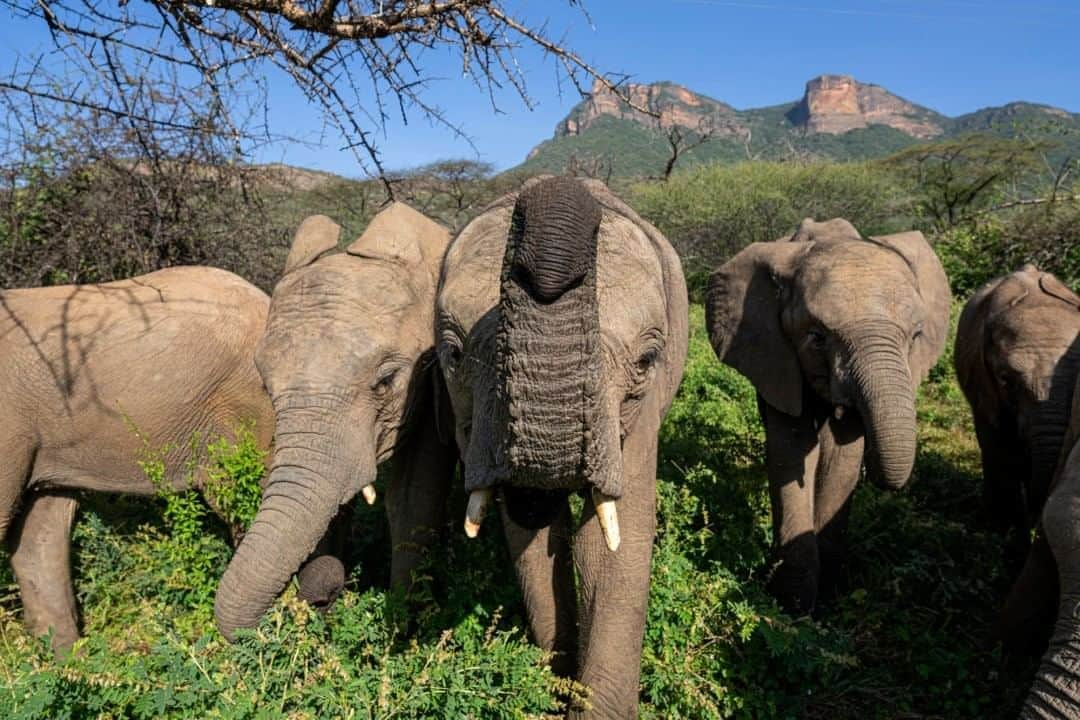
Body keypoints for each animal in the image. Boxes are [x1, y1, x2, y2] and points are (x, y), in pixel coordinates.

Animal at [214, 202, 455, 643]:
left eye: (386, 381)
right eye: (265, 386)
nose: (324, 588)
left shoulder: (436, 382)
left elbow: (412, 497)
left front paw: (405, 628)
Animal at [434, 175, 686, 720]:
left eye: (647, 359)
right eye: (454, 354)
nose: (552, 185)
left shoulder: (639, 415)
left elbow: (614, 541)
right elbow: (528, 532)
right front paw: (556, 683)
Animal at [708, 218, 954, 613]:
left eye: (917, 335)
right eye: (816, 337)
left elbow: (843, 456)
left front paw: (828, 595)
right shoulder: (775, 354)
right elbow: (791, 451)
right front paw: (792, 604)